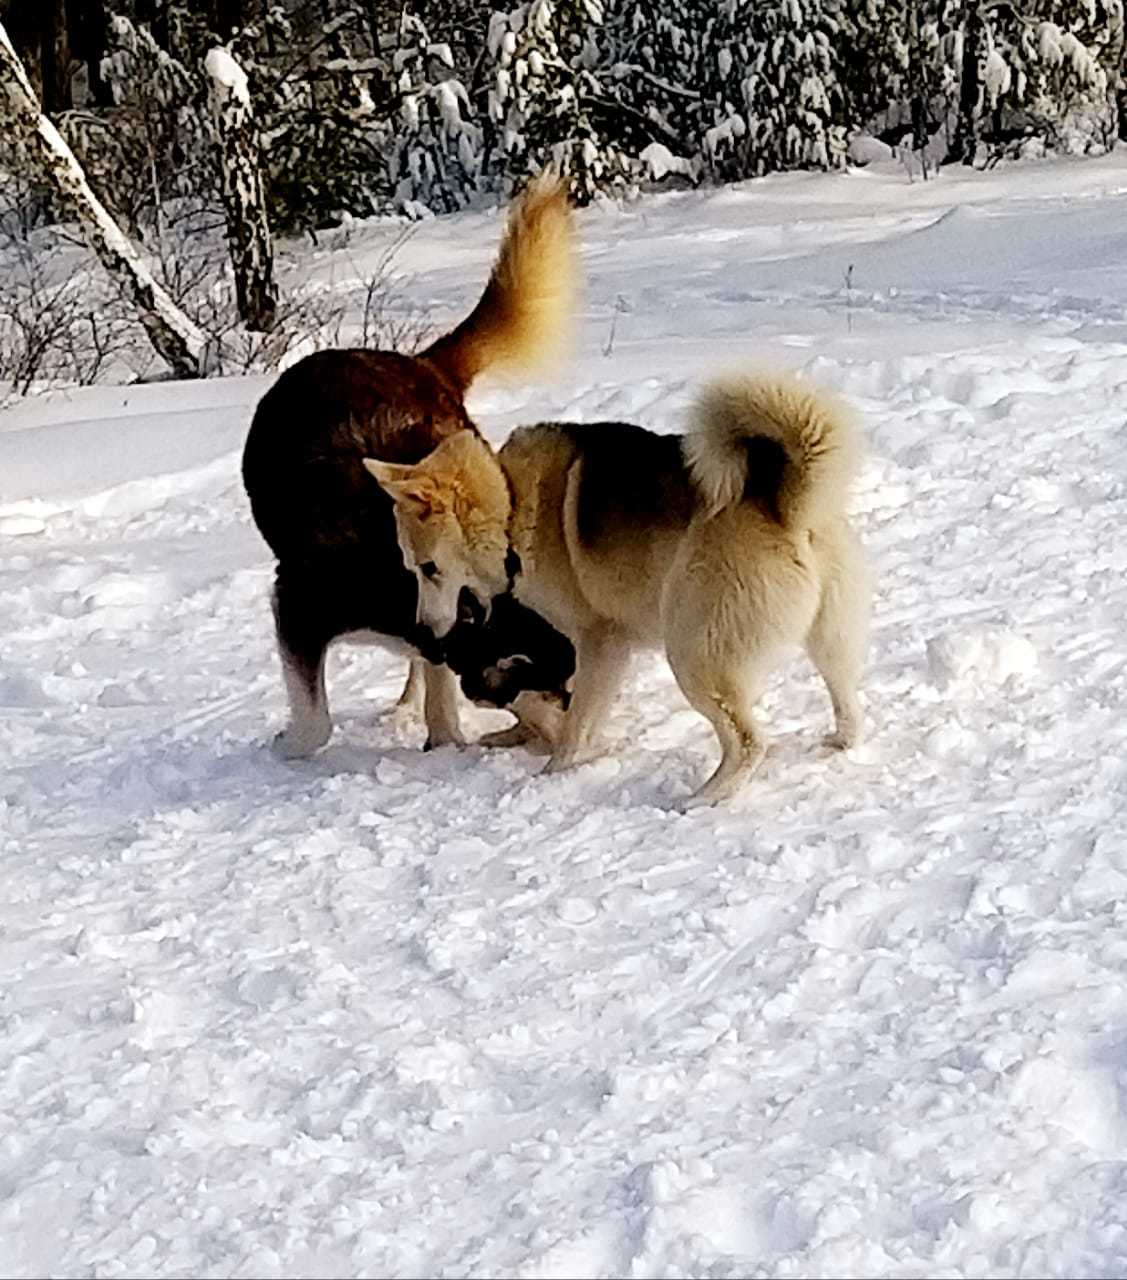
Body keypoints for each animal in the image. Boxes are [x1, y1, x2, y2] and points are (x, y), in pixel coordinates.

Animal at [366, 371, 865, 803]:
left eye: (428, 568)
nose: (425, 633)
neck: (511, 502)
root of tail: (786, 508)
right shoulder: (600, 649)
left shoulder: (597, 641)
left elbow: (573, 722)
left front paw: (553, 774)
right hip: (829, 639)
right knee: (845, 699)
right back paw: (841, 742)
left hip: (694, 654)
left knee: (748, 742)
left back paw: (703, 798)